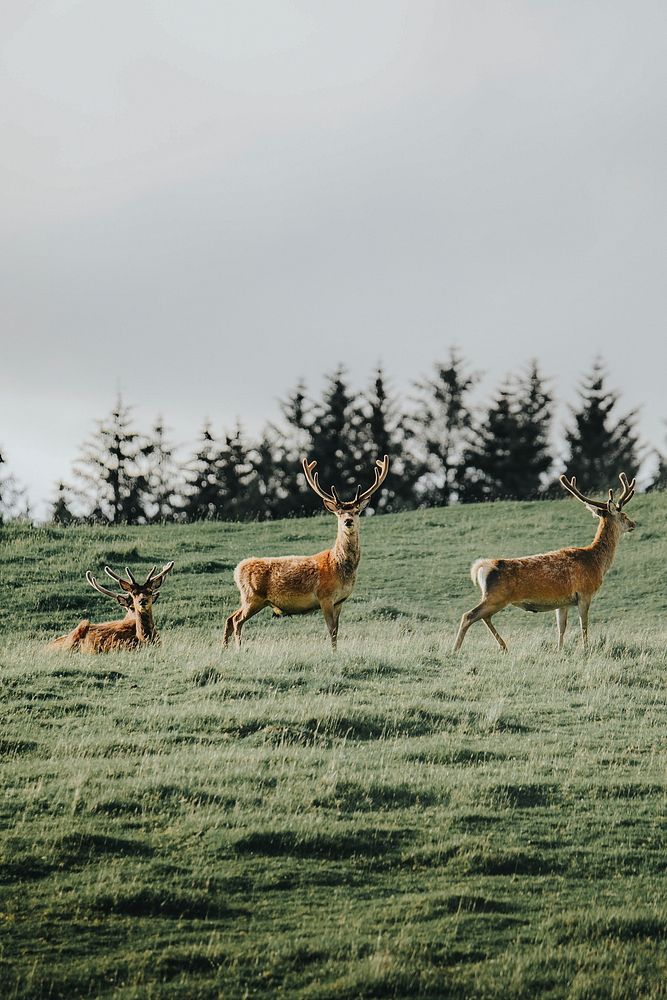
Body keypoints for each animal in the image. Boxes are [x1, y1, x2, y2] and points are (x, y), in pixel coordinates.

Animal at [224, 458, 392, 652]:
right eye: (339, 513)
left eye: (357, 511)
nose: (348, 521)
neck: (340, 568)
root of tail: (237, 569)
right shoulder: (324, 596)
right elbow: (331, 630)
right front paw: (333, 653)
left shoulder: (340, 601)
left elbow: (337, 630)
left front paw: (336, 652)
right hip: (252, 597)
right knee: (237, 621)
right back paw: (239, 648)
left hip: (249, 599)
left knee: (229, 618)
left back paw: (224, 649)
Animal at [454, 472, 636, 652]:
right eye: (624, 515)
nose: (633, 523)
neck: (596, 562)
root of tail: (482, 567)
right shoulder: (585, 593)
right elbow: (584, 625)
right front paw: (586, 649)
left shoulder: (563, 602)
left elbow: (561, 627)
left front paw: (560, 649)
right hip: (496, 596)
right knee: (468, 615)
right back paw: (456, 650)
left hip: (493, 597)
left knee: (484, 617)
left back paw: (503, 646)